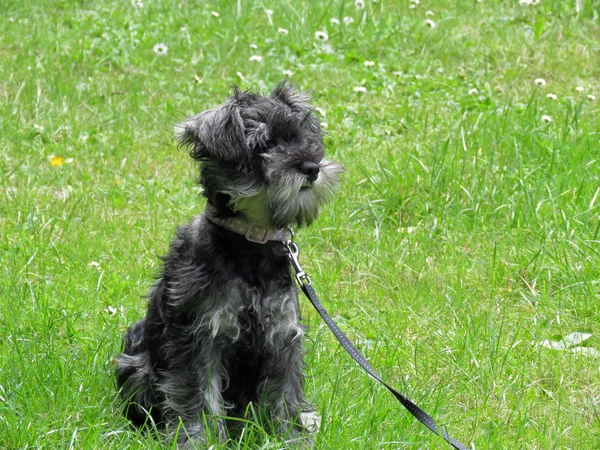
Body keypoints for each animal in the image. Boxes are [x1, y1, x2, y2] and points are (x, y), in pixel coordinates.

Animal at [116, 82, 342, 448]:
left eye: (300, 139)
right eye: (263, 146)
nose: (311, 167)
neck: (250, 246)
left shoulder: (283, 336)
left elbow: (286, 394)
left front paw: (292, 437)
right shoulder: (201, 338)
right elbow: (200, 396)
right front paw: (201, 439)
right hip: (137, 364)